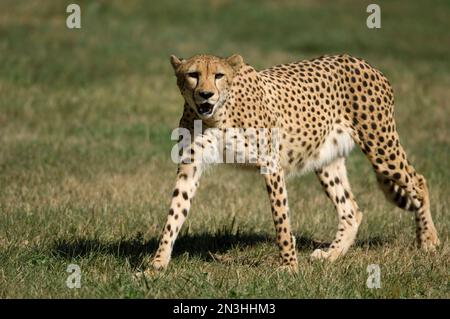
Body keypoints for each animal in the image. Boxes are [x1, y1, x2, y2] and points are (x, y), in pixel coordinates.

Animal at [147, 53, 440, 274]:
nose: (206, 94)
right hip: (326, 160)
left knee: (418, 181)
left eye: (218, 75)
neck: (215, 116)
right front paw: (157, 264)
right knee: (351, 210)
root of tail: (360, 61)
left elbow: (281, 219)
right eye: (193, 74)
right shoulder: (190, 166)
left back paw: (428, 240)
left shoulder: (271, 164)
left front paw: (289, 265)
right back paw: (331, 255)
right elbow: (175, 212)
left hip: (380, 146)